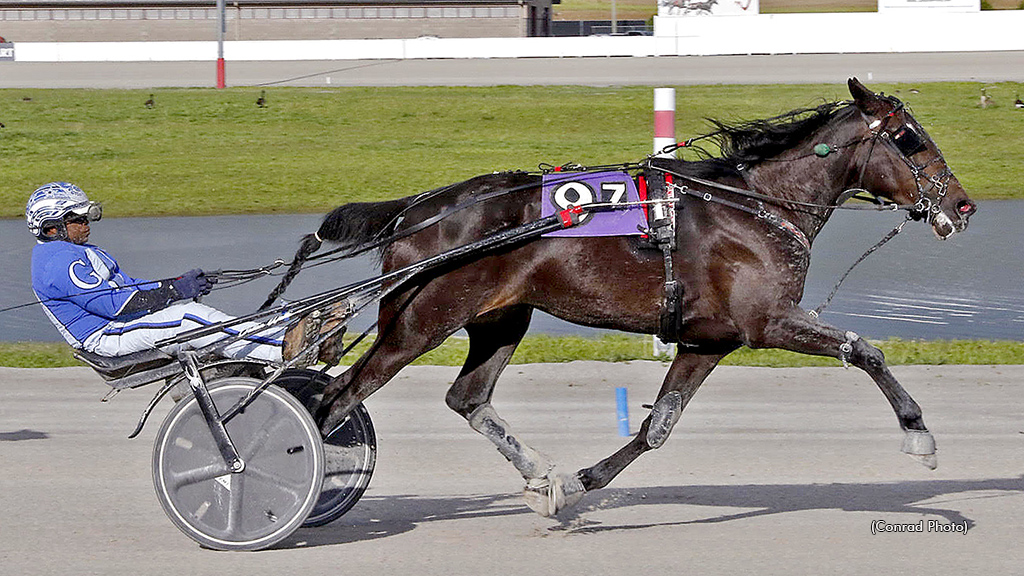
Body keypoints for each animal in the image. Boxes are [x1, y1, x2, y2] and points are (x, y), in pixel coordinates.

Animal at [286, 78, 977, 517]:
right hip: (419, 321)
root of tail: (417, 210)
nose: (964, 204)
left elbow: (658, 426)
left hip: (501, 318)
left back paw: (541, 474)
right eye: (910, 138)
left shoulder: (709, 340)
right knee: (338, 397)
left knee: (467, 397)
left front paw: (579, 481)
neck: (757, 207)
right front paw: (919, 433)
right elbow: (866, 351)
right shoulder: (768, 322)